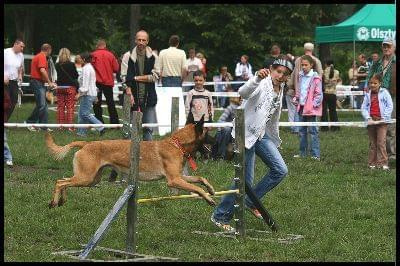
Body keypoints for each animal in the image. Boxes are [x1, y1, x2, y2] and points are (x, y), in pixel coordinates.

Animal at [45, 115, 217, 209]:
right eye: (208, 133)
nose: (216, 141)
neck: (177, 144)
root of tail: (86, 144)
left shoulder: (180, 177)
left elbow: (200, 179)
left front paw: (211, 189)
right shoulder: (174, 180)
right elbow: (197, 188)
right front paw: (209, 199)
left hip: (91, 179)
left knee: (64, 181)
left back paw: (61, 200)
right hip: (86, 177)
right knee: (60, 182)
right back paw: (54, 202)